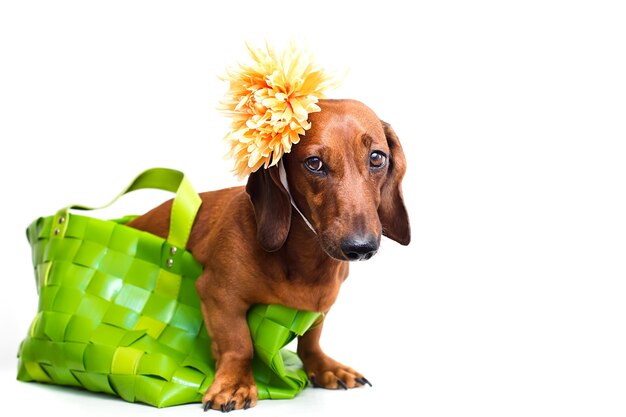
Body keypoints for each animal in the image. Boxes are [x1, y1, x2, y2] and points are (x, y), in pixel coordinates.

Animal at [127, 99, 410, 412]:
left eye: (377, 158)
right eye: (314, 163)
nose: (360, 247)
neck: (305, 261)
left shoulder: (320, 308)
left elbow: (311, 340)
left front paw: (323, 367)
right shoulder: (217, 294)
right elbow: (239, 344)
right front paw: (234, 384)